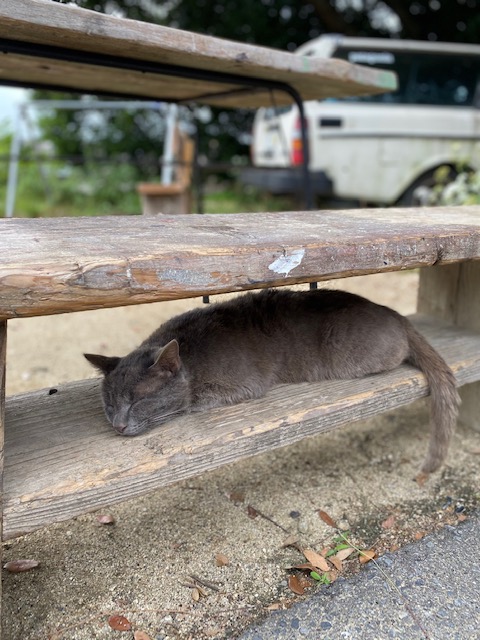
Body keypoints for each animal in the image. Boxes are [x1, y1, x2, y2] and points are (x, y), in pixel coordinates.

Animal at [84, 288, 460, 472]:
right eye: (109, 404)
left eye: (138, 400)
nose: (118, 425)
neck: (190, 357)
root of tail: (395, 314)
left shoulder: (242, 385)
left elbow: (192, 402)